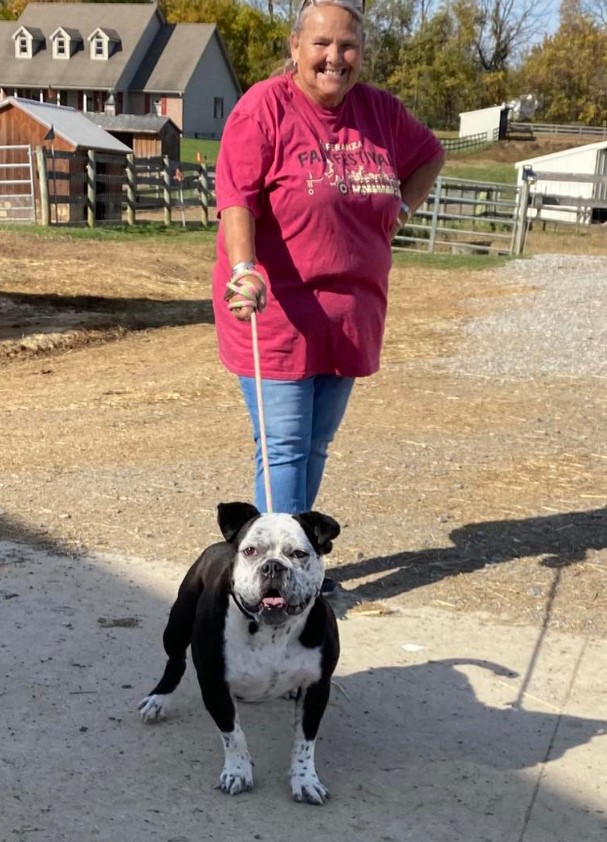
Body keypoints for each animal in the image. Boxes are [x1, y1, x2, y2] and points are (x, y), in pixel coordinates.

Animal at [140, 502, 344, 804]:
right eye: (250, 551)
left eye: (298, 554)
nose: (273, 566)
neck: (271, 629)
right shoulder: (214, 684)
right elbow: (233, 734)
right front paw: (237, 772)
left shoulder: (317, 688)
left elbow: (305, 741)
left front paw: (305, 779)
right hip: (177, 626)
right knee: (175, 662)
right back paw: (158, 700)